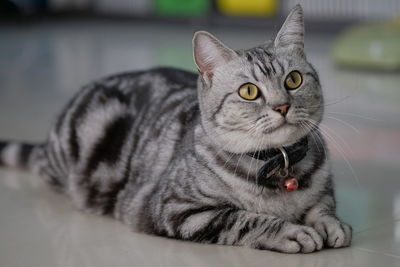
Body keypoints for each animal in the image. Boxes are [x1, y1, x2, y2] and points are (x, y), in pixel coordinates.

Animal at [0, 5, 350, 254]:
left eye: (294, 79)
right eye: (249, 91)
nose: (282, 106)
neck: (279, 163)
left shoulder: (324, 190)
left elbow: (323, 206)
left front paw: (331, 225)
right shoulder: (177, 209)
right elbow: (245, 218)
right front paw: (292, 231)